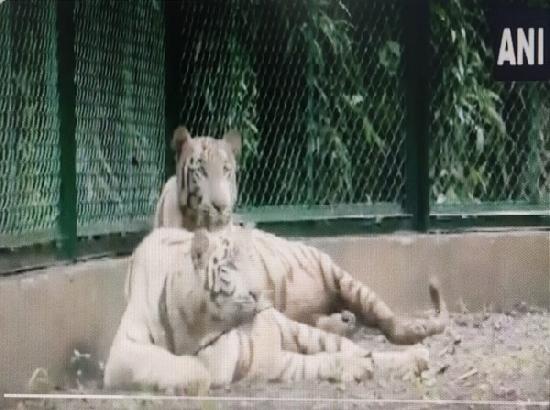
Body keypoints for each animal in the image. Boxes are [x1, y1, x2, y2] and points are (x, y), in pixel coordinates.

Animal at [103, 229, 432, 392]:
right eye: (229, 267)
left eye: (253, 264)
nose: (260, 293)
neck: (194, 322)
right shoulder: (124, 349)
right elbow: (184, 367)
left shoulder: (246, 354)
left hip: (301, 327)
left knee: (352, 346)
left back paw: (415, 356)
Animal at [154, 126, 448, 344]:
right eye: (201, 170)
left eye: (227, 170)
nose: (220, 205)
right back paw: (343, 321)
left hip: (345, 280)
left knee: (385, 318)